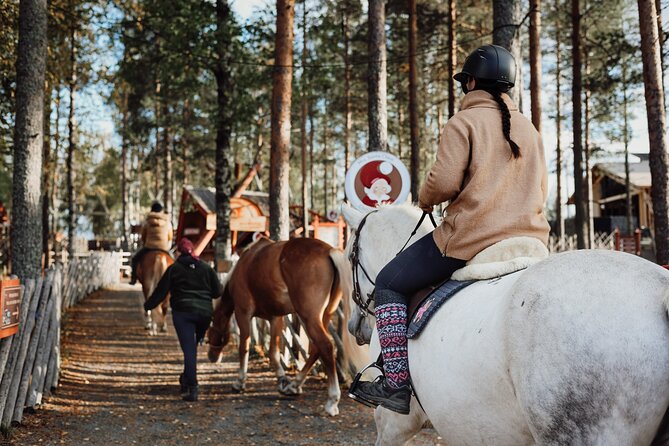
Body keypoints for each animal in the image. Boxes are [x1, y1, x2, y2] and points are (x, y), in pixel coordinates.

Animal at [207, 239, 366, 416]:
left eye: (209, 333)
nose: (212, 357)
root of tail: (328, 251)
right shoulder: (275, 318)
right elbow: (274, 352)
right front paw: (282, 380)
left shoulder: (243, 313)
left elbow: (244, 348)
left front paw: (240, 381)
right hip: (324, 316)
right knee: (316, 349)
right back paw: (294, 385)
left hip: (309, 317)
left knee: (325, 346)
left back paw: (332, 400)